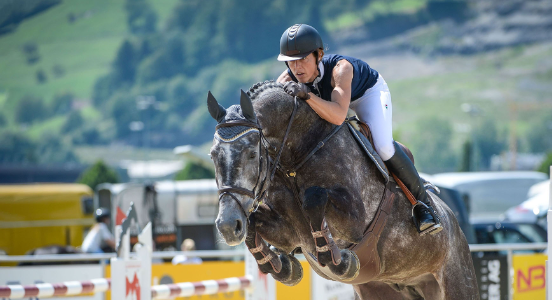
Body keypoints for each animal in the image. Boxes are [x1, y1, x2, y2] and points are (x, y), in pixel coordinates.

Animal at [207, 81, 478, 298]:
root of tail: (455, 224)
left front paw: (340, 260)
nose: (227, 226)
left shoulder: (355, 222)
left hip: (457, 281)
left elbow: (313, 198)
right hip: (382, 289)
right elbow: (254, 222)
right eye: (213, 156)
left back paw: (427, 217)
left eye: (252, 154)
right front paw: (280, 266)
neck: (297, 154)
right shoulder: (289, 233)